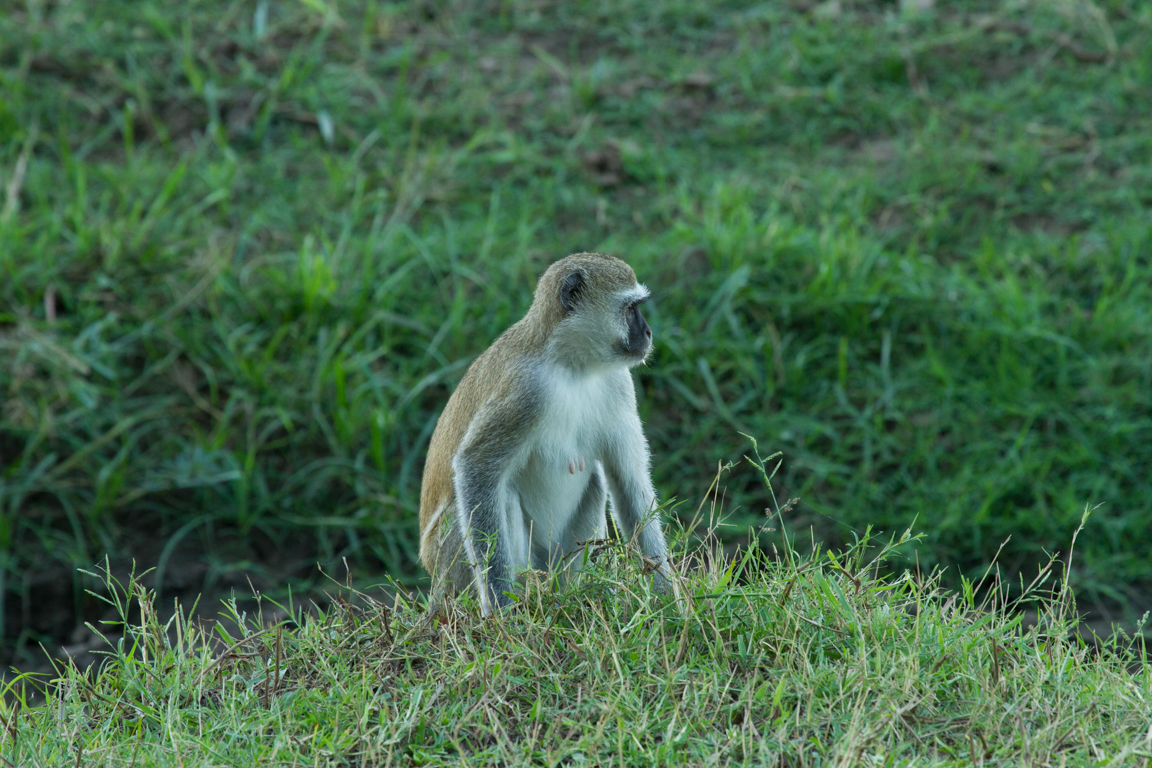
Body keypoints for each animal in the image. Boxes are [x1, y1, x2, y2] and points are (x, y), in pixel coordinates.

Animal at [419, 255, 672, 617]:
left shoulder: (619, 383)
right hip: (450, 564)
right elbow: (475, 468)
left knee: (594, 484)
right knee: (499, 495)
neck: (573, 365)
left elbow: (628, 481)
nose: (648, 333)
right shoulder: (525, 392)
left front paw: (668, 602)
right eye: (630, 309)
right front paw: (501, 610)